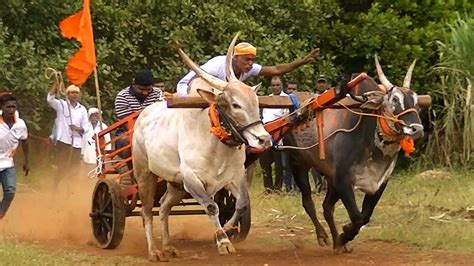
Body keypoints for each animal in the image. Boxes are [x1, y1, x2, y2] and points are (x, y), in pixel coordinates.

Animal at [133, 33, 272, 262]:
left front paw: (228, 228)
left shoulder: (233, 177)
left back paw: (168, 246)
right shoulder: (192, 180)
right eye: (235, 105)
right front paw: (223, 241)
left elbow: (241, 203)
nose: (264, 139)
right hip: (145, 174)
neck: (216, 144)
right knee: (146, 211)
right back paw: (154, 251)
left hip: (175, 184)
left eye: (256, 102)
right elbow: (211, 206)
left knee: (163, 207)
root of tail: (143, 115)